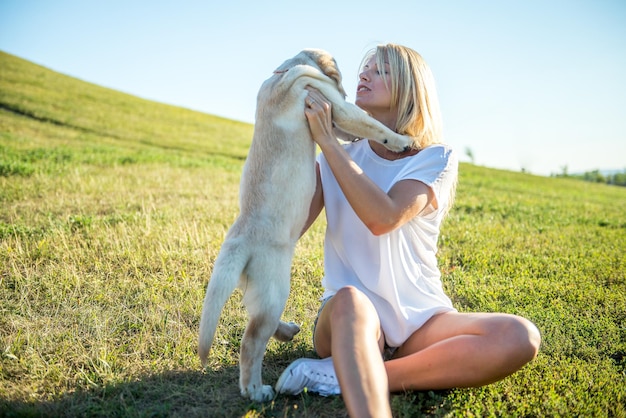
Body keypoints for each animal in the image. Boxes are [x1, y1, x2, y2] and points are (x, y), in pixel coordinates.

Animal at [196, 49, 410, 402]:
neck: (284, 71)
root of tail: (239, 242)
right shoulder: (334, 104)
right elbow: (371, 123)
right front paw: (400, 140)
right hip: (275, 288)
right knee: (251, 340)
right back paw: (256, 390)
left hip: (255, 287)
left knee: (253, 318)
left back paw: (285, 332)